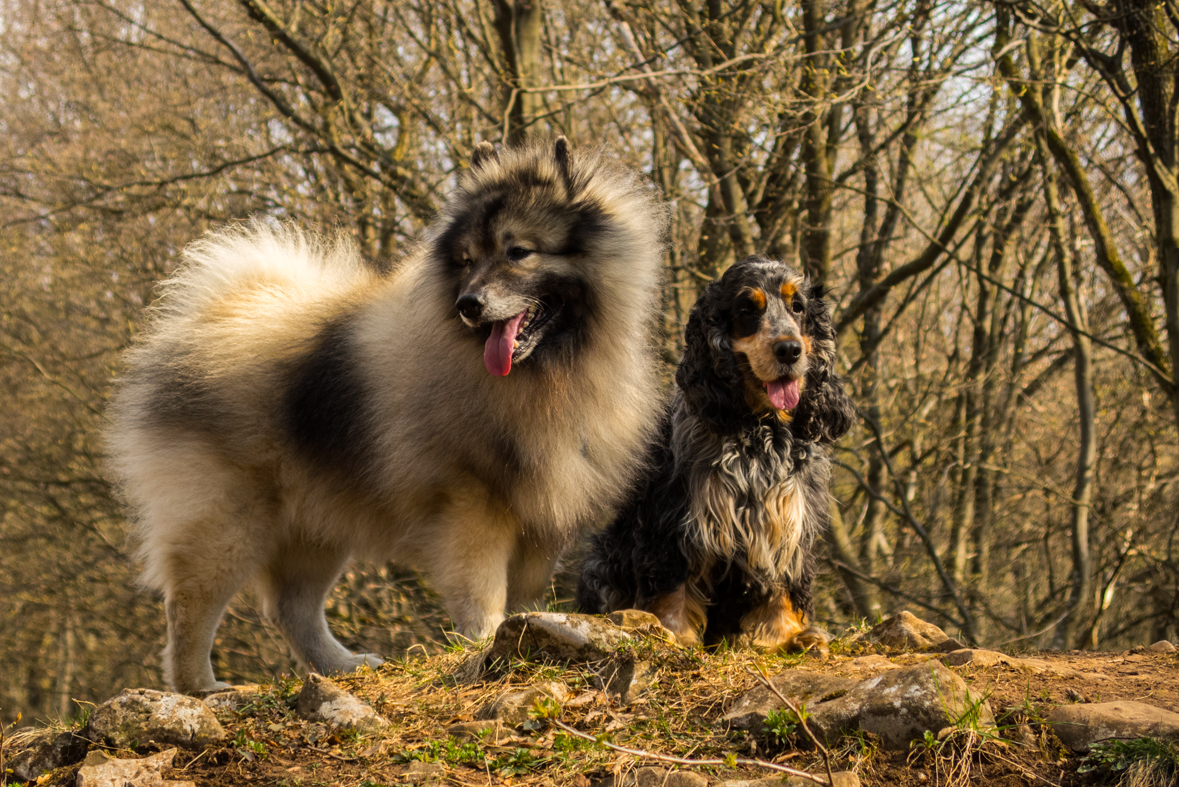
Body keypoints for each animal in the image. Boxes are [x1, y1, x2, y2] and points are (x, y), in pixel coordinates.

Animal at [108, 139, 664, 692]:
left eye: (518, 252)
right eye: (467, 260)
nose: (468, 304)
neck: (546, 374)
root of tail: (213, 319)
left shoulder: (539, 518)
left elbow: (522, 595)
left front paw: (523, 633)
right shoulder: (471, 507)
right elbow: (481, 592)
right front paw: (486, 643)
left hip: (313, 525)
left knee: (292, 607)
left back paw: (341, 665)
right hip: (228, 521)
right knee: (190, 606)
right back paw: (199, 686)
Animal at [575, 255, 853, 655]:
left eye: (798, 307)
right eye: (747, 309)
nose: (789, 350)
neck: (758, 429)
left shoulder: (790, 514)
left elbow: (783, 581)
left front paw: (785, 634)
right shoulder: (679, 518)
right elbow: (674, 583)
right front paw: (673, 631)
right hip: (602, 560)